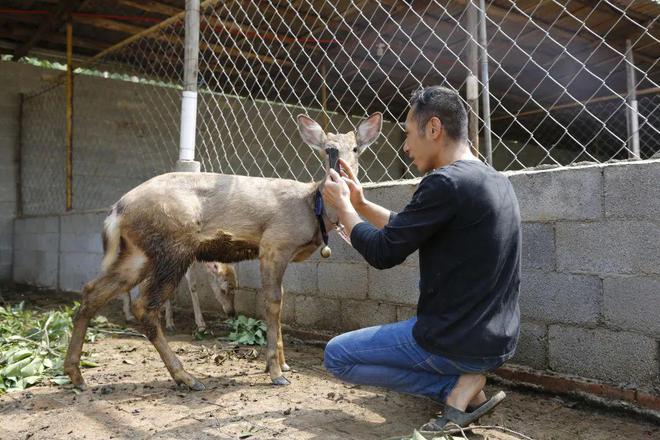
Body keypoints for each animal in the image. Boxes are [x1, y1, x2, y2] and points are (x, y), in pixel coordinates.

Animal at [63, 111, 382, 390]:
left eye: (356, 148)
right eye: (328, 149)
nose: (342, 172)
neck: (311, 207)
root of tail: (117, 210)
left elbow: (281, 301)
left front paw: (282, 363)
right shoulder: (274, 243)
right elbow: (273, 302)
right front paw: (276, 372)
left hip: (138, 253)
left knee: (92, 291)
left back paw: (76, 374)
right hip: (173, 246)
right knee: (144, 305)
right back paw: (185, 377)